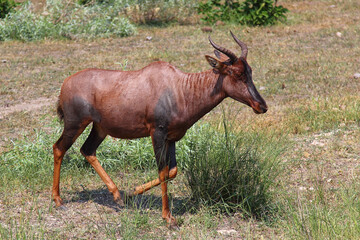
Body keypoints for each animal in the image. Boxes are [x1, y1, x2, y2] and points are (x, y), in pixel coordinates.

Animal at [52, 31, 268, 229]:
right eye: (236, 73)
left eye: (250, 71)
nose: (262, 106)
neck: (179, 88)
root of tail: (65, 83)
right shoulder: (157, 133)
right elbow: (163, 171)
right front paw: (168, 218)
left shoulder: (171, 138)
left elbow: (172, 171)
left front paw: (133, 192)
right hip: (75, 124)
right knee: (59, 148)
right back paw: (58, 200)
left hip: (100, 128)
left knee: (87, 150)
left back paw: (118, 196)